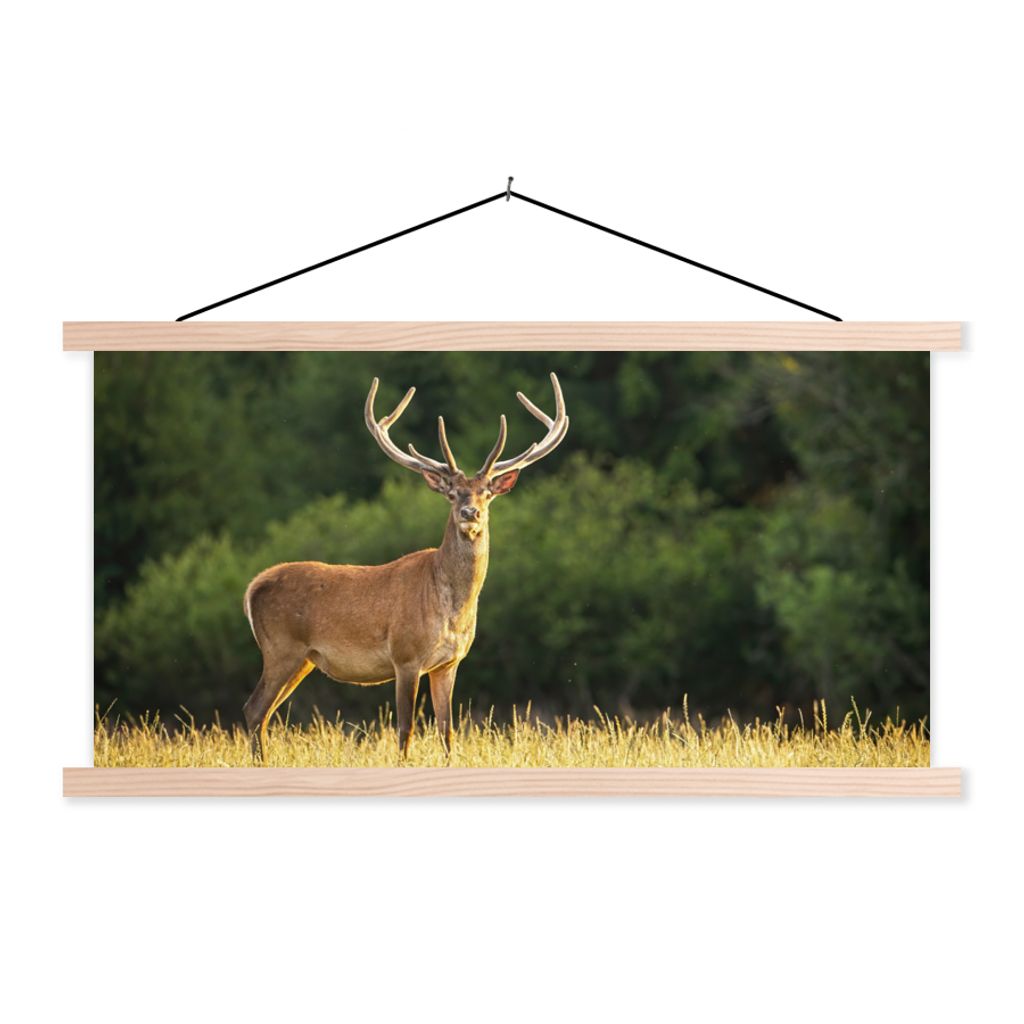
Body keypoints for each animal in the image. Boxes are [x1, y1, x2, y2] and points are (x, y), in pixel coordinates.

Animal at [242, 372, 569, 763]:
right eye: (452, 493)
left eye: (486, 493)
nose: (470, 513)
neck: (451, 609)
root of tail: (252, 587)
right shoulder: (405, 655)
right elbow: (405, 729)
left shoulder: (449, 663)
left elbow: (447, 731)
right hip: (281, 648)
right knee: (254, 709)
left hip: (302, 659)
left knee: (263, 712)